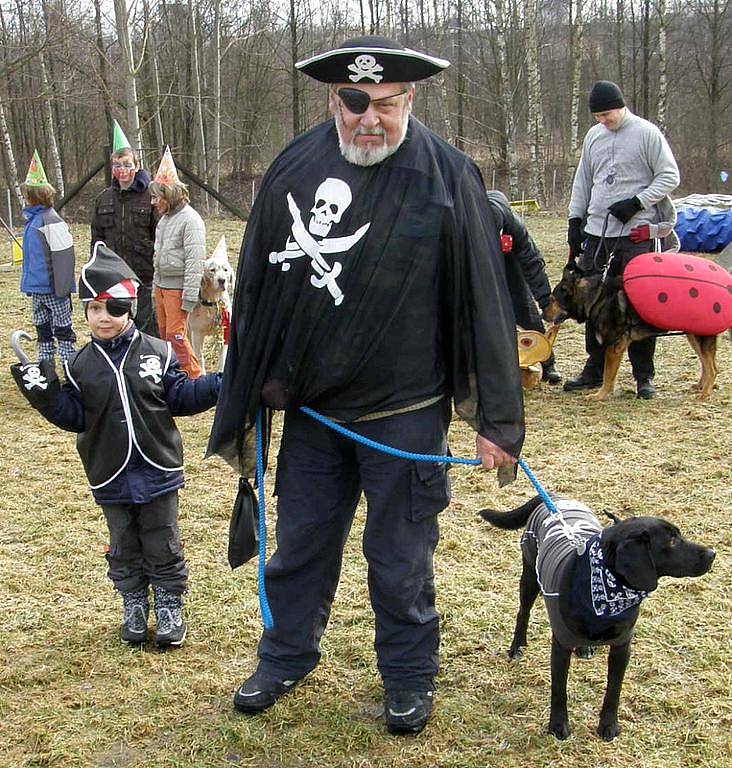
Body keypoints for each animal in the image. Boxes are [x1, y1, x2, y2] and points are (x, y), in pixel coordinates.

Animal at [187, 237, 233, 376]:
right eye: (212, 270)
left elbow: (223, 356)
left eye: (225, 270)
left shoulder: (225, 332)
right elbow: (199, 357)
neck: (213, 303)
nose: (222, 280)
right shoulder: (197, 334)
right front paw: (201, 373)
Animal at [480, 496, 716, 740]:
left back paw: (585, 648)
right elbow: (559, 690)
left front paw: (608, 725)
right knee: (523, 612)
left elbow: (614, 690)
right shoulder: (561, 645)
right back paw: (517, 646)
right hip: (529, 574)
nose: (712, 554)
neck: (607, 586)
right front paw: (558, 725)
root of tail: (555, 497)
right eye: (671, 540)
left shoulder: (622, 646)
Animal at [544, 258, 720, 400]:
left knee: (712, 369)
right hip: (694, 338)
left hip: (700, 339)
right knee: (706, 364)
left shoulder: (614, 347)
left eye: (552, 300)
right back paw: (700, 387)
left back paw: (705, 394)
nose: (543, 314)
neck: (596, 298)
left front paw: (600, 395)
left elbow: (608, 375)